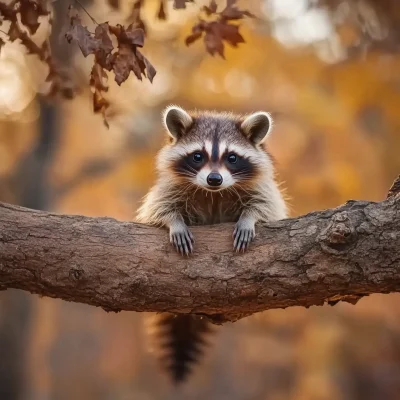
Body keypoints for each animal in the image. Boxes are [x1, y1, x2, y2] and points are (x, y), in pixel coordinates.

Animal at [137, 105, 288, 384]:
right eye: (198, 156)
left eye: (232, 157)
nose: (214, 179)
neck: (214, 193)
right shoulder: (169, 189)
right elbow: (160, 208)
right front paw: (174, 222)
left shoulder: (263, 190)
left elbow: (265, 206)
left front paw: (249, 219)